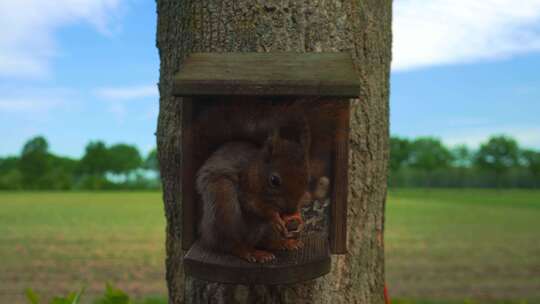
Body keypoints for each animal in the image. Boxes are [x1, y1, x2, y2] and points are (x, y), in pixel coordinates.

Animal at [195, 101, 312, 262]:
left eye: (307, 179)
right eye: (274, 180)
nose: (290, 211)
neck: (256, 170)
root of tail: (204, 233)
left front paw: (297, 217)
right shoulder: (246, 186)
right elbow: (253, 205)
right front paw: (273, 216)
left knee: (268, 241)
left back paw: (285, 243)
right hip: (223, 206)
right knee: (231, 244)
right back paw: (252, 252)